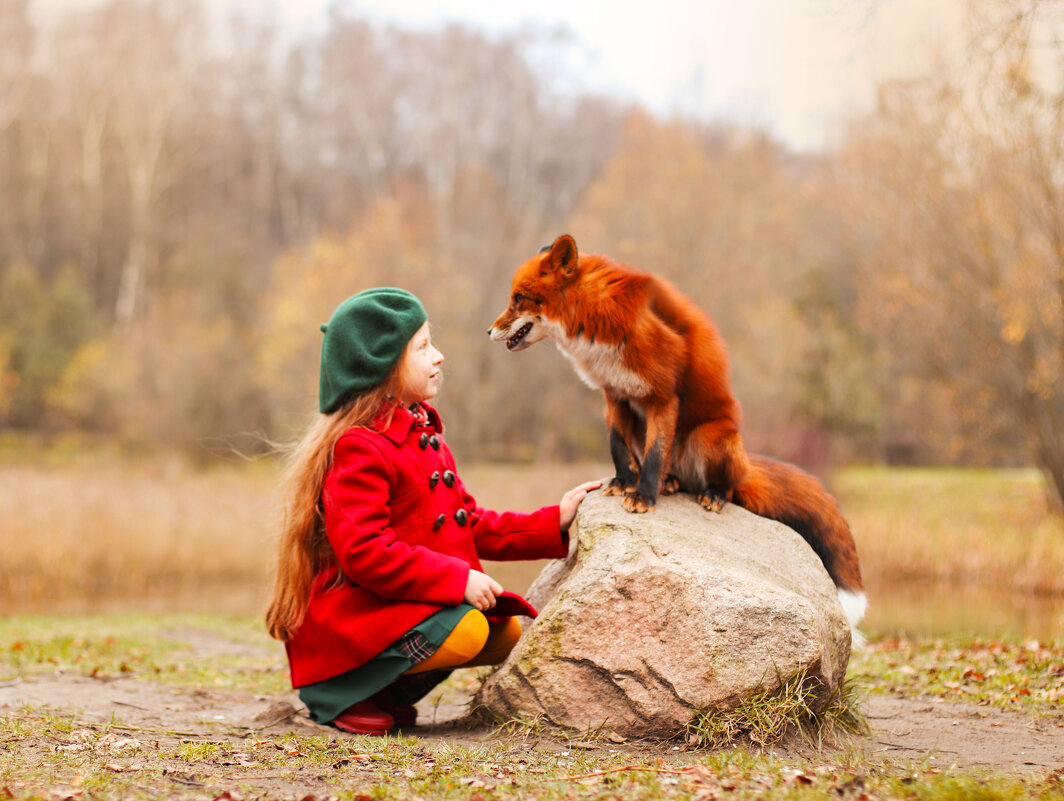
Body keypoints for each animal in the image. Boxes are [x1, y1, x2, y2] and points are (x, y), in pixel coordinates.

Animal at [489, 234, 863, 633]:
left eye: (519, 298)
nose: (488, 331)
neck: (596, 320)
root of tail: (746, 466)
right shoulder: (615, 395)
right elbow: (618, 446)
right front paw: (625, 482)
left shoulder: (661, 396)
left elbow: (655, 454)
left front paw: (643, 497)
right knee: (672, 471)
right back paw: (669, 483)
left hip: (710, 438)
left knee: (726, 485)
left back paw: (711, 494)